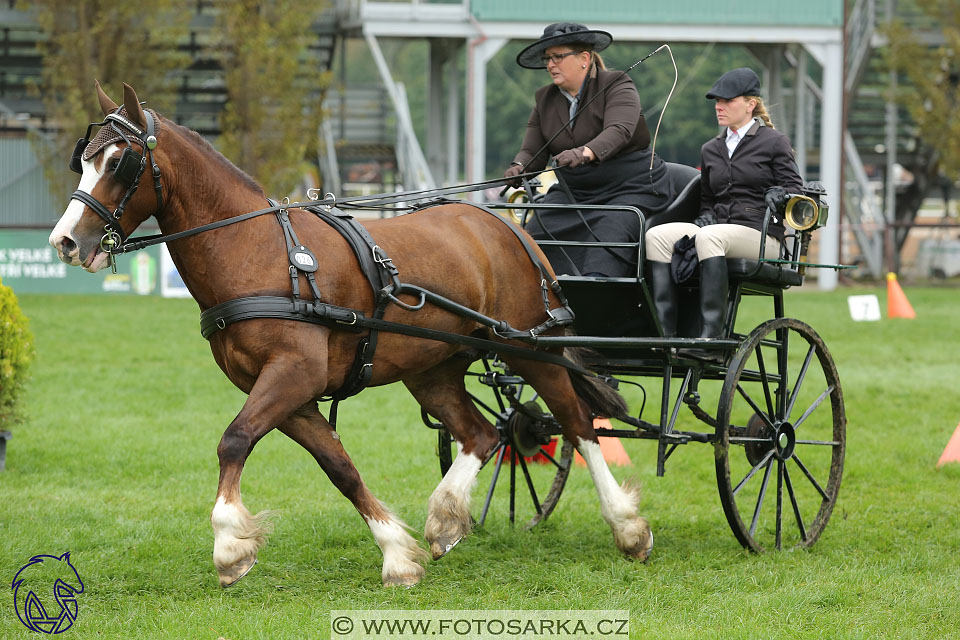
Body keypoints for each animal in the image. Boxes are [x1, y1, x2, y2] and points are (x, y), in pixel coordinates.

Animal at [50, 82, 652, 588]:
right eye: (84, 158)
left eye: (119, 161)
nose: (65, 242)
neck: (257, 252)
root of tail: (506, 226)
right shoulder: (290, 395)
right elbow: (339, 467)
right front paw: (397, 555)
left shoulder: (292, 375)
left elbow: (234, 440)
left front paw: (229, 547)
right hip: (433, 368)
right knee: (482, 434)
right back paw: (446, 519)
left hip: (527, 347)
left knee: (577, 424)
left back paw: (627, 528)